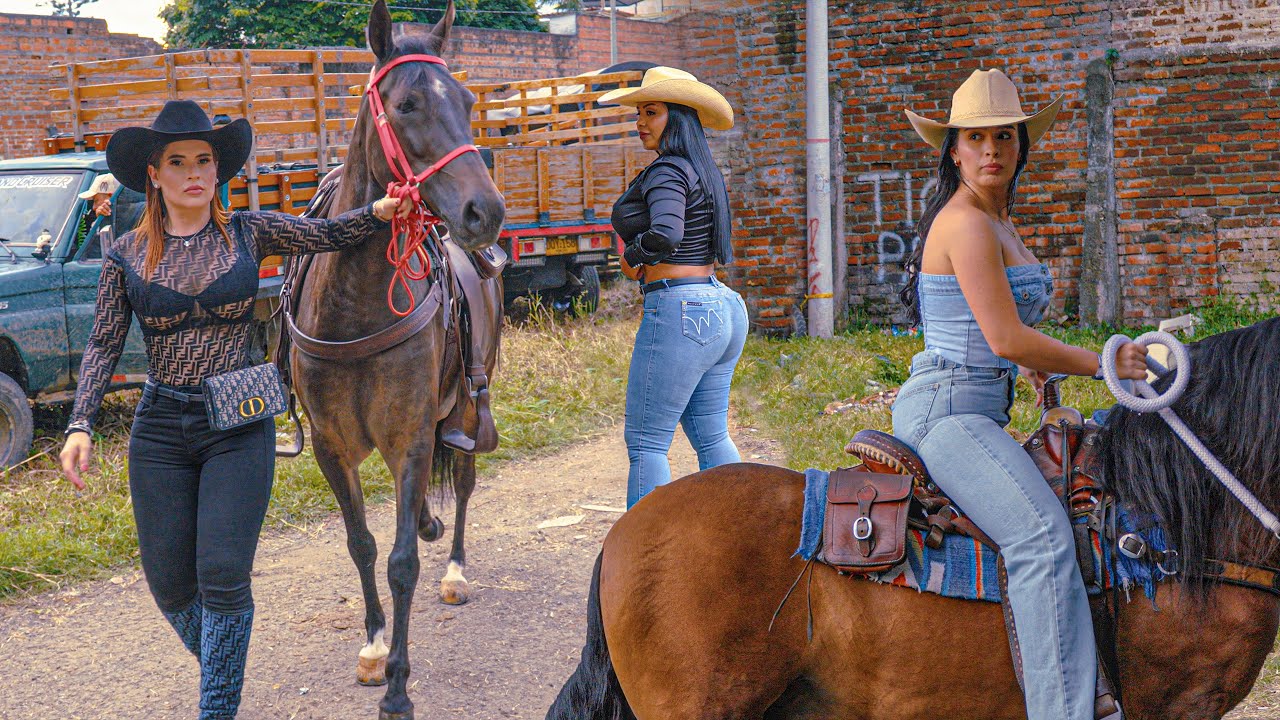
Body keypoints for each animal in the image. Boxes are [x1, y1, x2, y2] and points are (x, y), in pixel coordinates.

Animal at [290, 2, 504, 712]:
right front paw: (375, 645)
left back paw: (455, 564)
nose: (485, 211)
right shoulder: (331, 445)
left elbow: (402, 562)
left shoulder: (411, 434)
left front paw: (399, 690)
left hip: (467, 400)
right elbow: (361, 545)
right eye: (407, 103)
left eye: (467, 101)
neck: (354, 304)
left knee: (461, 479)